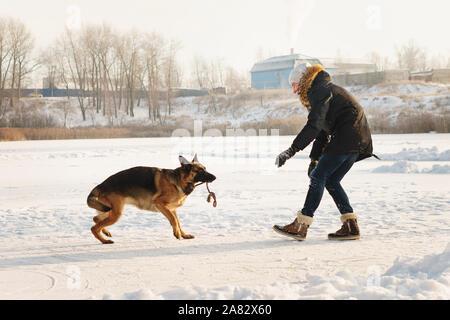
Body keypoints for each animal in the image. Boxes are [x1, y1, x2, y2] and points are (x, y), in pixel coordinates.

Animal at [87, 154, 216, 244]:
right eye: (200, 170)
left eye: (205, 168)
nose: (215, 177)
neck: (179, 180)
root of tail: (101, 185)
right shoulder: (160, 204)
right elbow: (174, 220)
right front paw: (177, 234)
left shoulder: (172, 209)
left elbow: (177, 222)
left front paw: (183, 234)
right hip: (116, 213)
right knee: (94, 228)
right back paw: (104, 240)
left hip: (110, 210)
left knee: (95, 219)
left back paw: (106, 232)